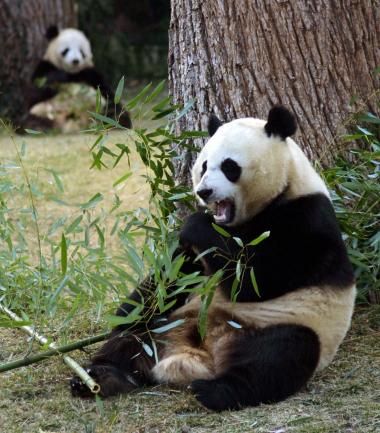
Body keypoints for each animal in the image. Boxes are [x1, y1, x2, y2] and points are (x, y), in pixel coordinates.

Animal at [70, 106, 354, 410]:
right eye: (204, 165)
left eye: (230, 166)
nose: (203, 192)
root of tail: (200, 352)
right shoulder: (194, 258)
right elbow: (165, 280)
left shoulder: (307, 218)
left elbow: (257, 280)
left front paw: (196, 223)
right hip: (167, 323)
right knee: (135, 338)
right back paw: (100, 377)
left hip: (282, 322)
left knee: (281, 353)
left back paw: (216, 391)